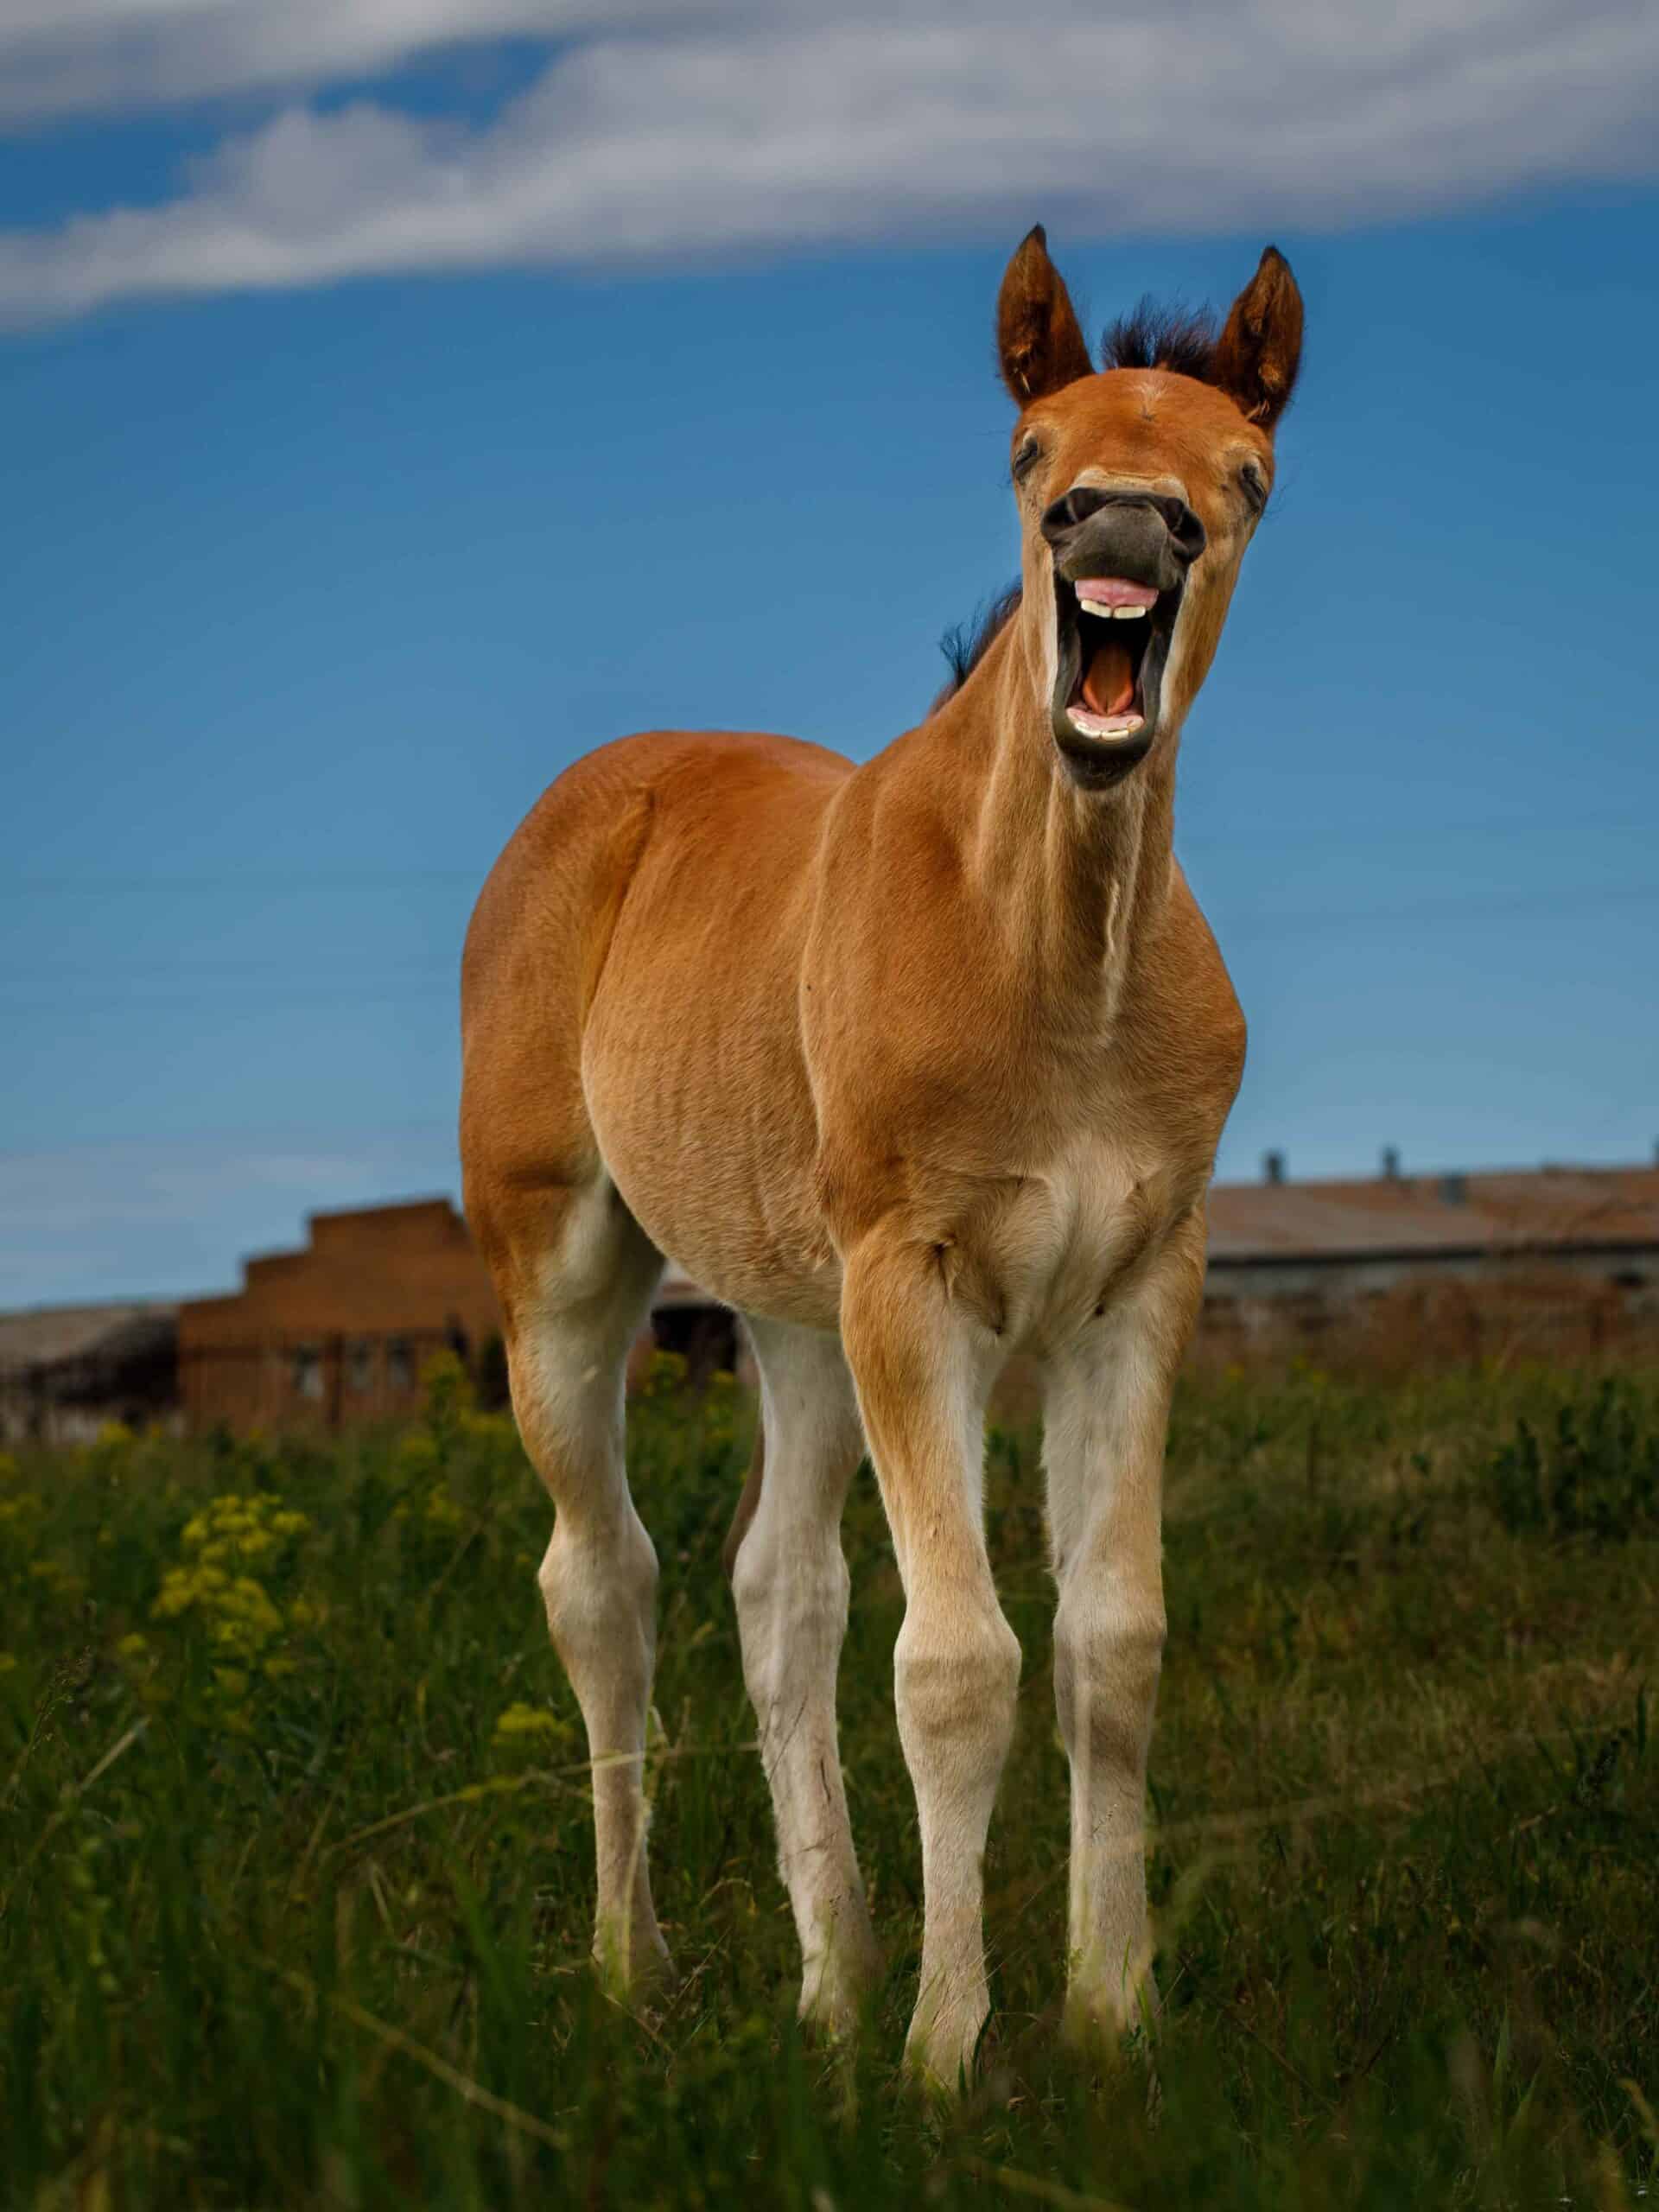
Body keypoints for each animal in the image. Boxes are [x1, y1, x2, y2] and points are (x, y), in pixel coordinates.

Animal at [459, 224, 1303, 2085]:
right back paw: (639, 1968)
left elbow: (1110, 1644)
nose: (1122, 535)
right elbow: (957, 1662)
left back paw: (830, 1980)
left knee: (780, 1592)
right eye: (1034, 458)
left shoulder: (1137, 1289)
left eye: (1242, 474)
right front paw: (947, 2048)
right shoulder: (916, 1287)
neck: (1058, 964)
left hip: (794, 1315)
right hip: (569, 1263)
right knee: (603, 1582)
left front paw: (1108, 2016)